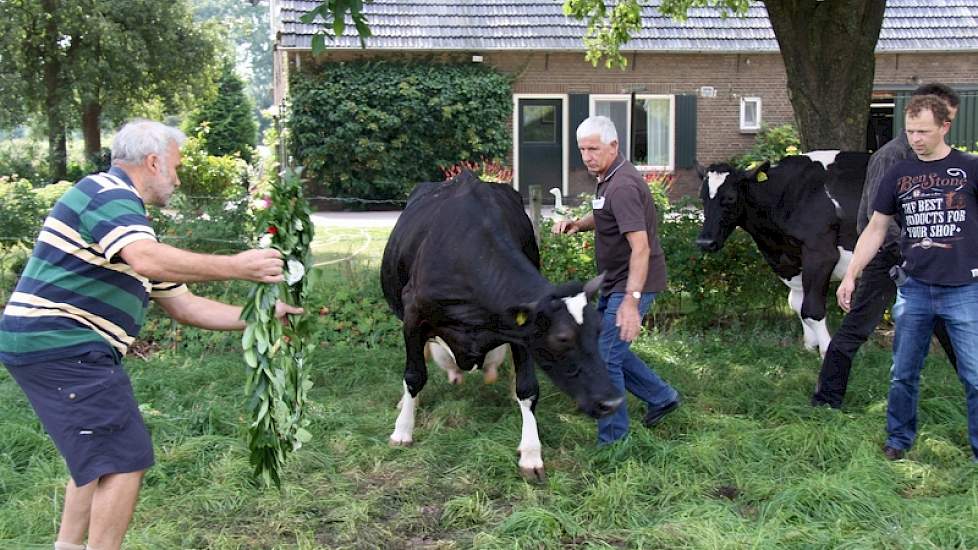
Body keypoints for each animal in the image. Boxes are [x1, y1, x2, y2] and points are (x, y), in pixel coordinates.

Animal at [378, 170, 620, 480]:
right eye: (562, 338)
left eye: (598, 331)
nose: (612, 402)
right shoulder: (412, 317)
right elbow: (414, 376)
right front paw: (402, 430)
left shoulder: (519, 330)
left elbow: (528, 388)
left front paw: (531, 453)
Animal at [692, 153, 868, 356]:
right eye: (702, 198)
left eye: (730, 198)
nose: (705, 242)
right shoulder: (791, 262)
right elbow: (797, 304)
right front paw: (809, 346)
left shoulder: (821, 254)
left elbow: (811, 310)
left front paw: (825, 350)